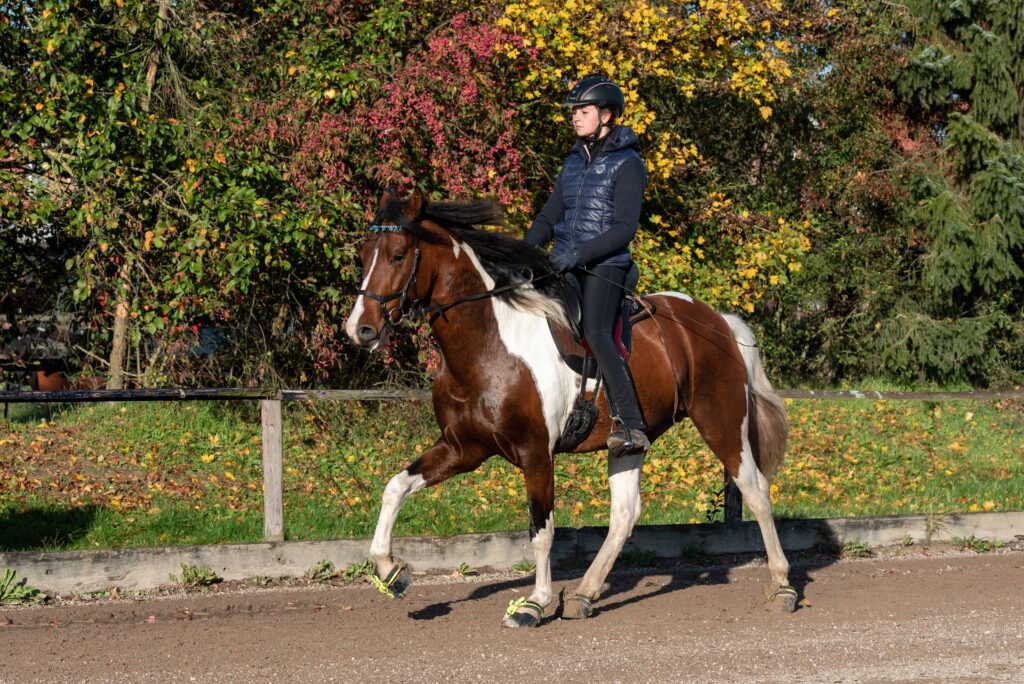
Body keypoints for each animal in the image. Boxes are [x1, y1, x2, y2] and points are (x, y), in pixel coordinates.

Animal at [348, 188, 794, 626]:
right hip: (630, 442)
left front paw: (534, 603)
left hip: (721, 420)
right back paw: (584, 594)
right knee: (625, 514)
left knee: (756, 491)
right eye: (364, 254)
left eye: (399, 254)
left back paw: (782, 586)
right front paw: (392, 571)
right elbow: (395, 487)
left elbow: (542, 531)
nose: (360, 329)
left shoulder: (536, 453)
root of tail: (716, 320)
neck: (488, 345)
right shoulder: (463, 449)